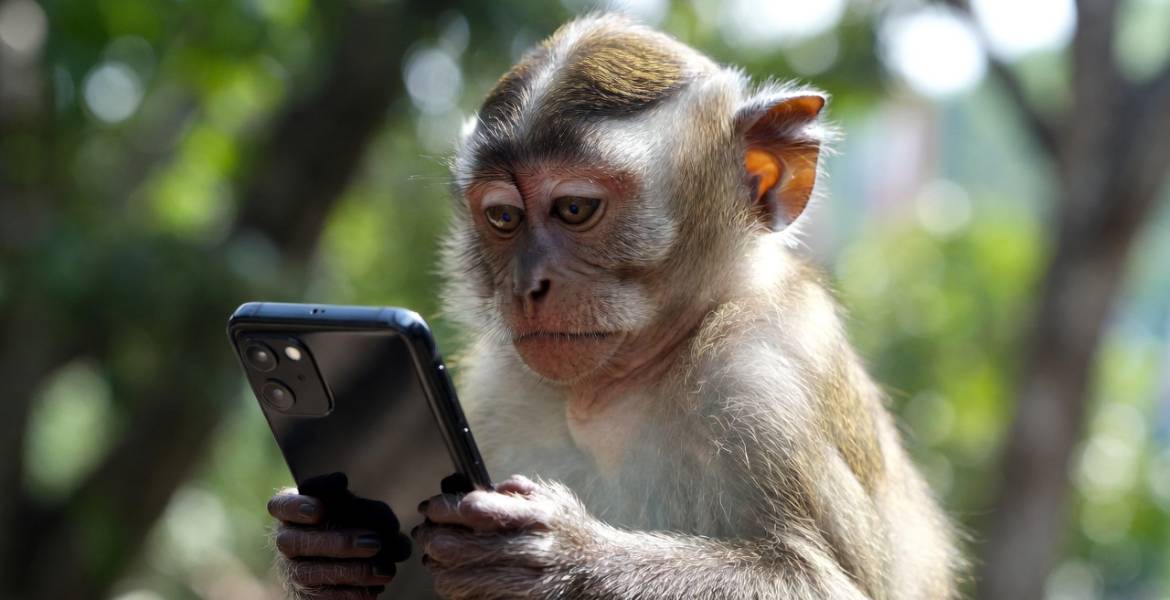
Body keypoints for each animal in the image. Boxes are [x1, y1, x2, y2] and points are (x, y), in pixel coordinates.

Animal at [265, 14, 961, 600]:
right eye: (503, 218)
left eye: (575, 209)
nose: (529, 286)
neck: (621, 384)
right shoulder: (496, 387)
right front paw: (324, 550)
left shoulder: (763, 372)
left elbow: (818, 583)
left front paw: (553, 557)